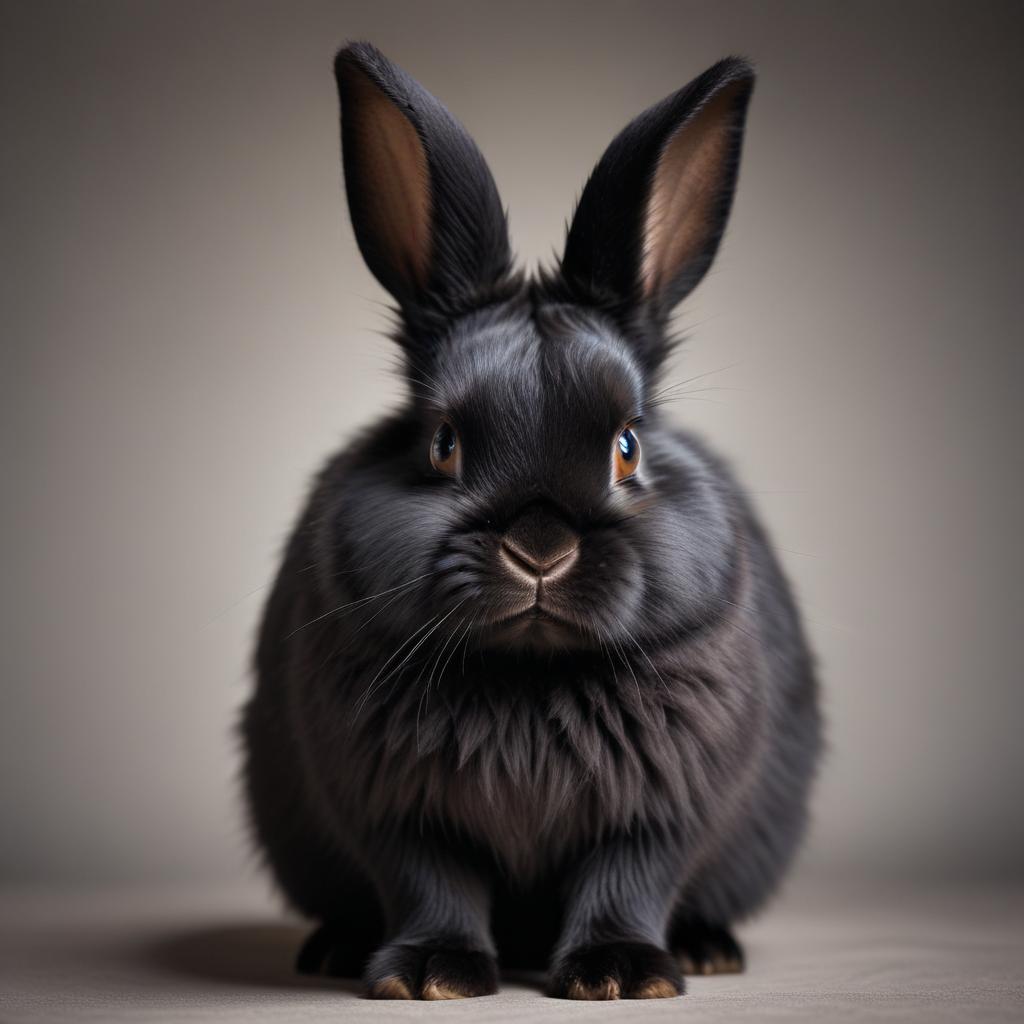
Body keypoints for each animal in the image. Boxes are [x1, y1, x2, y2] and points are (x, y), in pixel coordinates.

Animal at [241, 41, 821, 1001]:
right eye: (442, 444)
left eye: (627, 446)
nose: (540, 549)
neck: (528, 677)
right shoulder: (396, 813)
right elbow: (432, 884)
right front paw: (430, 977)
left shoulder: (660, 813)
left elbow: (627, 880)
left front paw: (620, 975)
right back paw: (331, 948)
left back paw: (710, 948)